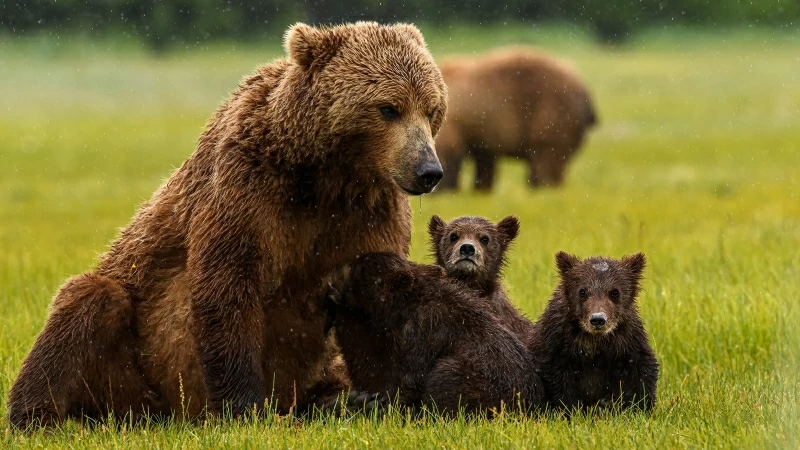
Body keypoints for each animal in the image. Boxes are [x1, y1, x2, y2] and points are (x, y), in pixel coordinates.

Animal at [9, 22, 450, 428]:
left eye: (431, 109)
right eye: (389, 107)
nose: (428, 170)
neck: (324, 177)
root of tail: (168, 414)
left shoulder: (369, 214)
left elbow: (370, 294)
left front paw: (378, 396)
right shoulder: (247, 192)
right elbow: (228, 285)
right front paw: (246, 407)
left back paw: (333, 401)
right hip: (134, 363)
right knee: (89, 302)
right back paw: (38, 416)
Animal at [434, 48, 596, 190]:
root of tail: (586, 93)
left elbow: (450, 151)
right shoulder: (480, 133)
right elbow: (485, 161)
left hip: (551, 111)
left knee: (546, 157)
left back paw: (543, 187)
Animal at [532, 251, 656, 414]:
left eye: (614, 292)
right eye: (582, 291)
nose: (597, 319)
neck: (595, 342)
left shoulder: (628, 341)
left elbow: (640, 372)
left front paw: (639, 408)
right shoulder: (557, 343)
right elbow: (559, 381)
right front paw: (571, 410)